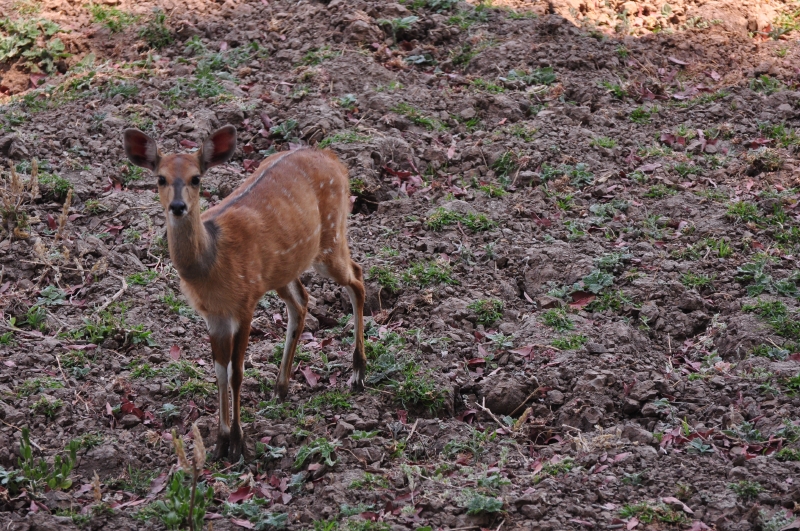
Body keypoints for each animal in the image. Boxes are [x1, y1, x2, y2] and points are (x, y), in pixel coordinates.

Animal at [122, 125, 366, 462]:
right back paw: (280, 388)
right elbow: (219, 372)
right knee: (302, 301)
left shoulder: (245, 302)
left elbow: (236, 372)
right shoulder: (213, 315)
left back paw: (358, 373)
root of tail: (334, 160)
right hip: (284, 268)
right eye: (160, 178)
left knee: (357, 277)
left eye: (196, 178)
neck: (211, 263)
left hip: (331, 239)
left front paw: (237, 443)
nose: (178, 207)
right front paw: (219, 443)